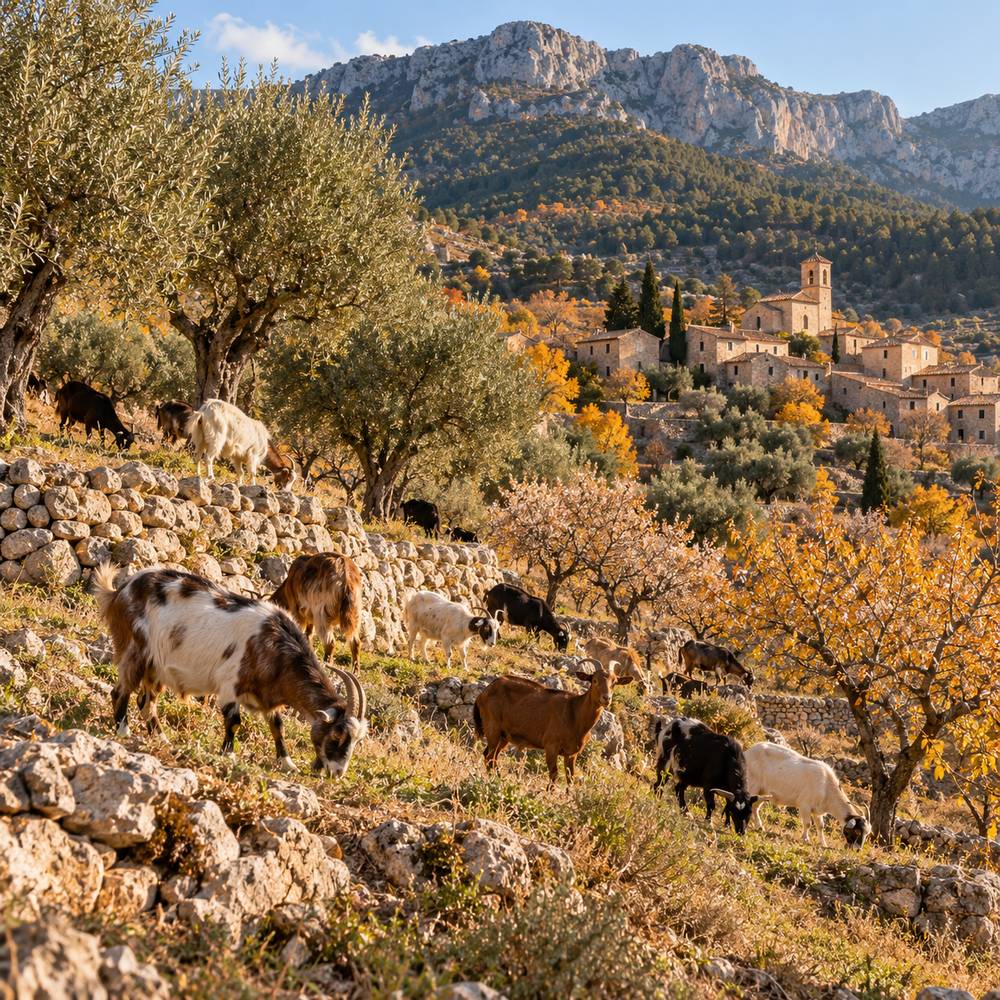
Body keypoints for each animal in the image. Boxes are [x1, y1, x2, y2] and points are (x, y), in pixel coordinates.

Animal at [92, 563, 367, 776]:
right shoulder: (230, 684)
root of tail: (120, 591)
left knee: (146, 701)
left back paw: (162, 738)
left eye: (357, 740)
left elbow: (277, 726)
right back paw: (123, 731)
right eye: (336, 736)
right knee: (121, 691)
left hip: (156, 668)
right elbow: (234, 722)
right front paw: (229, 755)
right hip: (136, 650)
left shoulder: (269, 695)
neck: (273, 644)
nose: (337, 773)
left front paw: (287, 763)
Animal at [474, 659, 631, 787]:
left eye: (614, 682)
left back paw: (498, 779)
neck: (575, 714)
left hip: (504, 736)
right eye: (594, 680)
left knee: (491, 757)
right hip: (493, 728)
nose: (606, 698)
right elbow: (554, 774)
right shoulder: (551, 747)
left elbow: (570, 777)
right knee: (489, 757)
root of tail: (484, 692)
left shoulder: (571, 754)